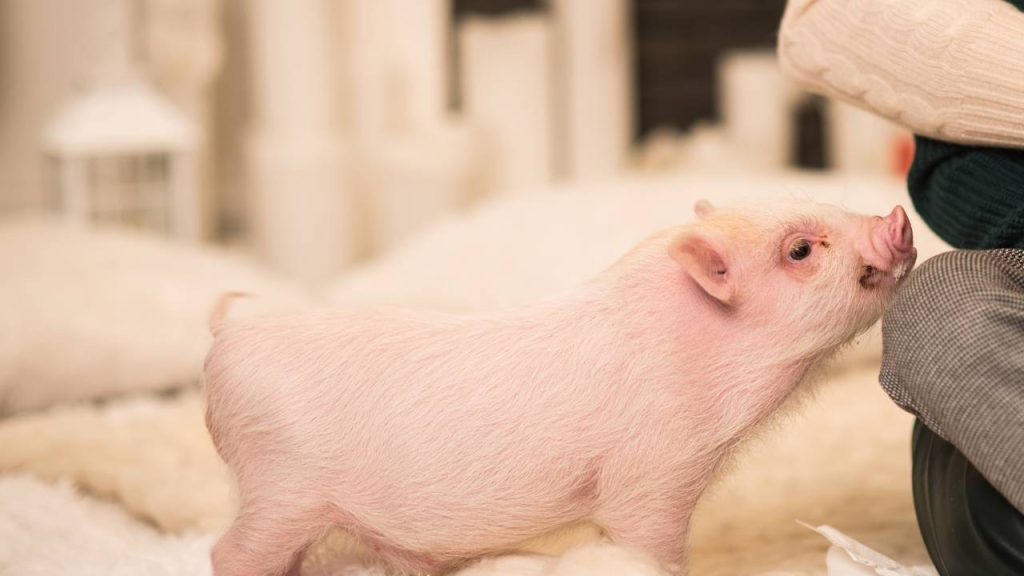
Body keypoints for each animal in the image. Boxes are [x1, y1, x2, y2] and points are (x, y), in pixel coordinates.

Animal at [203, 200, 917, 576]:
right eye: (800, 251)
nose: (896, 215)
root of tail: (232, 326)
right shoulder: (650, 475)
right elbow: (646, 547)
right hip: (280, 486)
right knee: (226, 552)